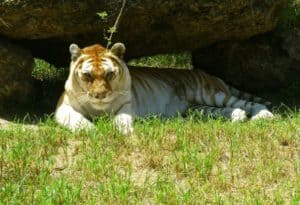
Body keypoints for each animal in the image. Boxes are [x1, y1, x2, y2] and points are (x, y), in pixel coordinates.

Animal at [54, 42, 274, 135]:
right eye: (88, 75)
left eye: (109, 74)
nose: (100, 95)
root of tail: (210, 75)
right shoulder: (63, 108)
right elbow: (76, 120)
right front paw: (91, 130)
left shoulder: (126, 106)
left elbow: (121, 119)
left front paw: (124, 131)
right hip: (197, 108)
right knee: (228, 110)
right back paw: (238, 117)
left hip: (211, 94)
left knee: (247, 103)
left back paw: (265, 116)